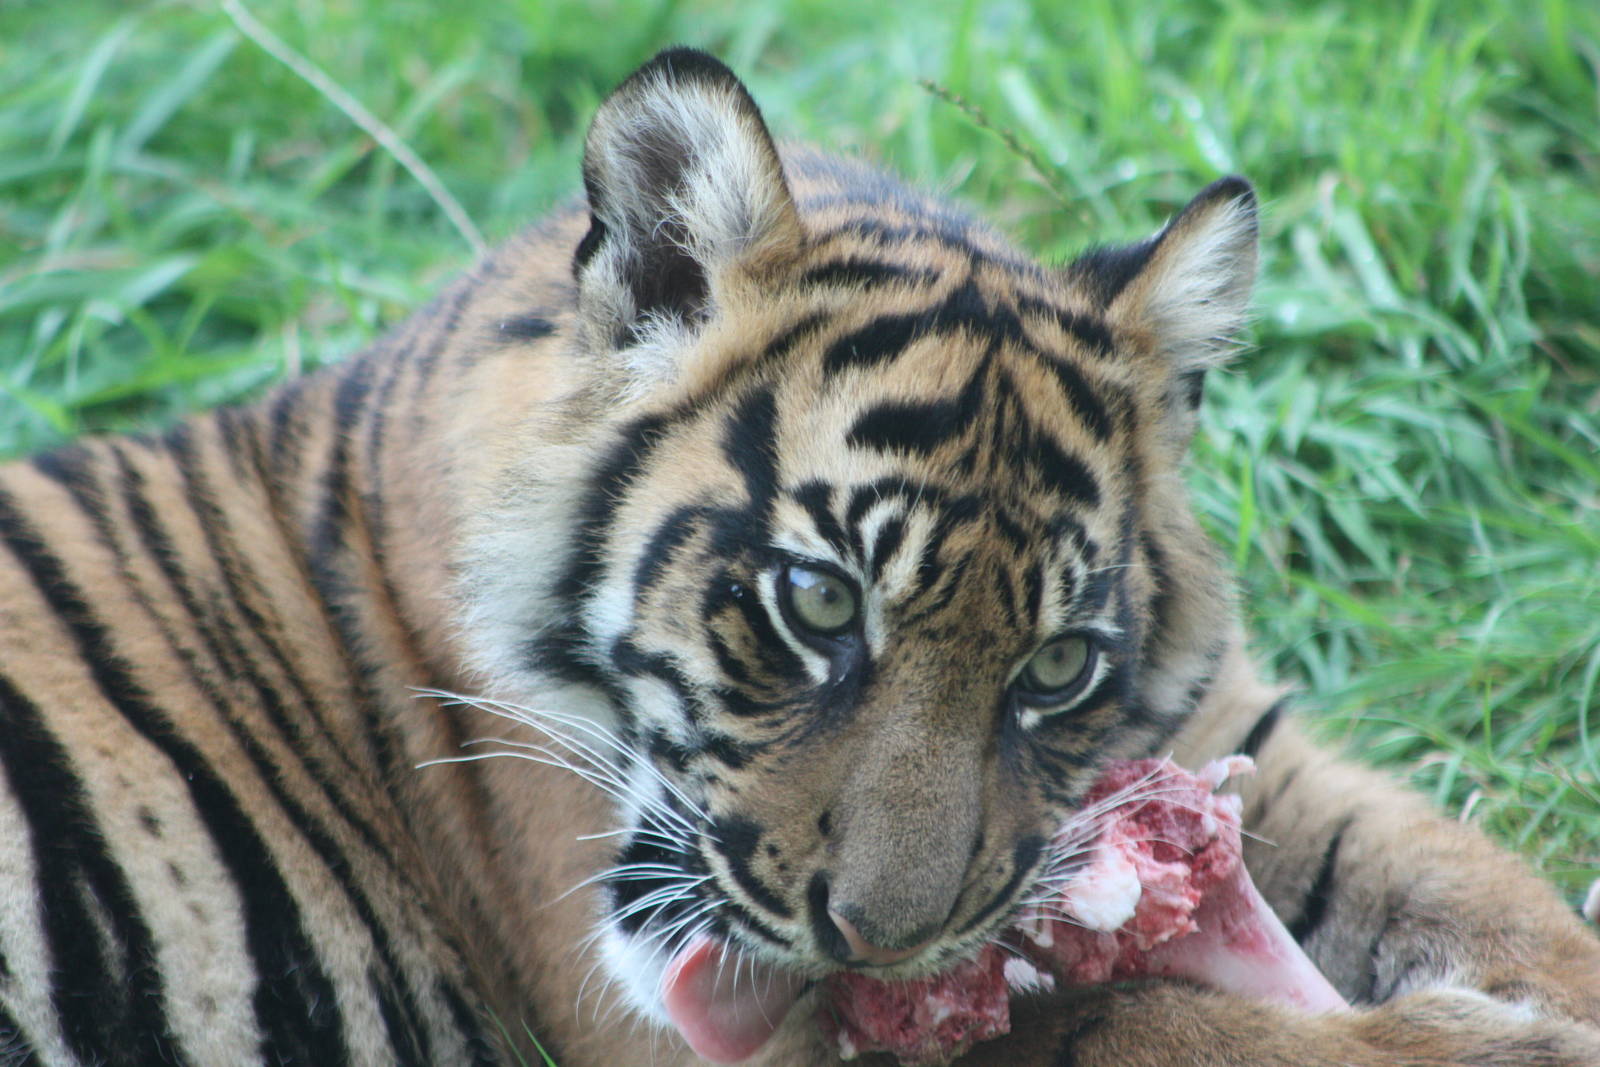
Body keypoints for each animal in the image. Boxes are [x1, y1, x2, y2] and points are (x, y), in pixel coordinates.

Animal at [1, 45, 1597, 1067]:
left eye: (1055, 667)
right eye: (817, 601)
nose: (877, 940)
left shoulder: (1245, 734)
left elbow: (1478, 883)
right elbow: (1120, 1017)